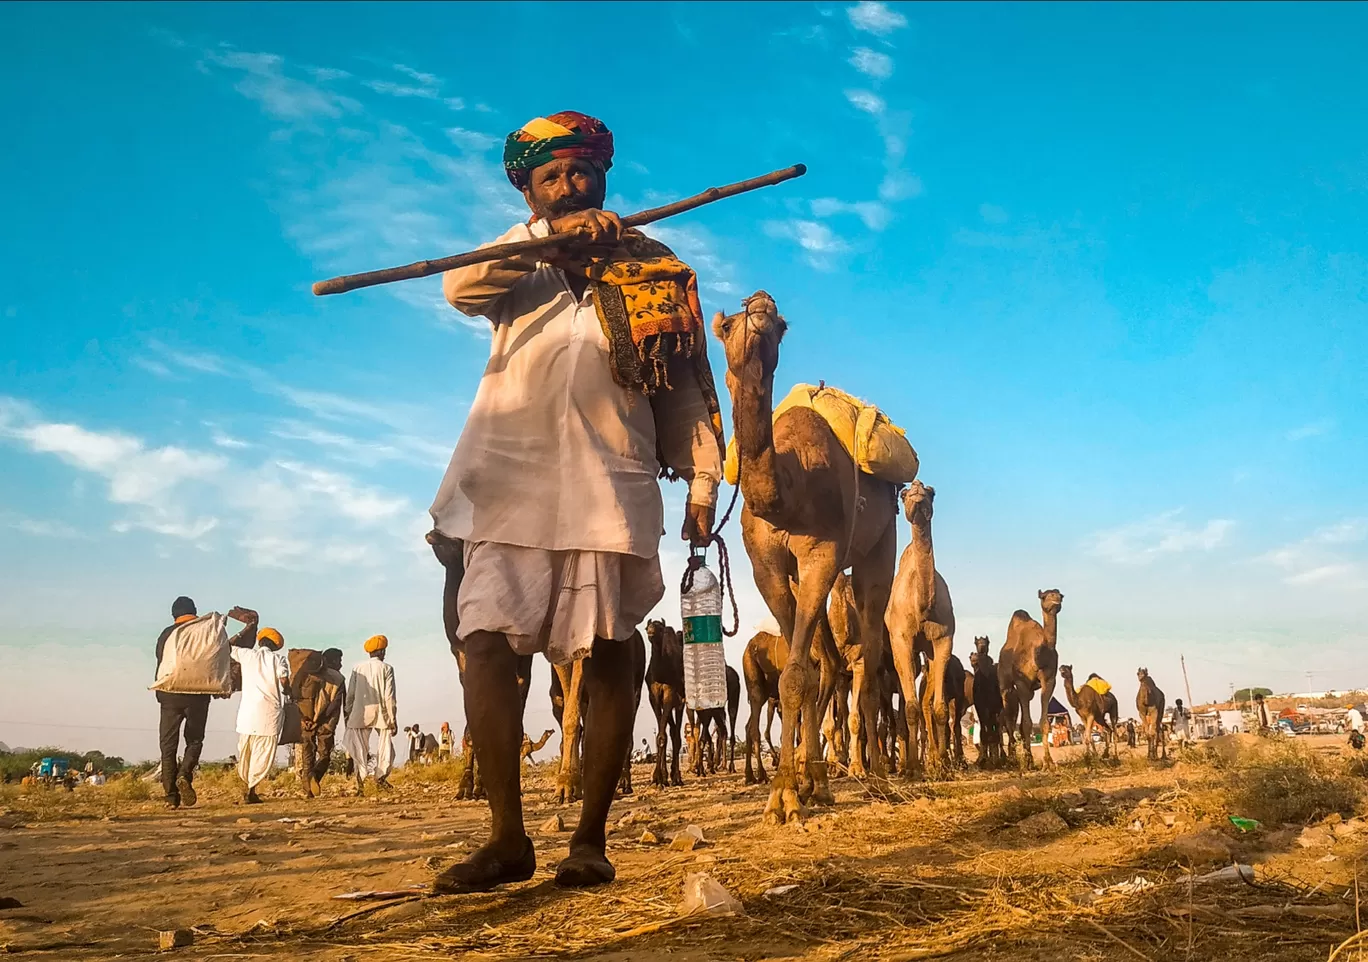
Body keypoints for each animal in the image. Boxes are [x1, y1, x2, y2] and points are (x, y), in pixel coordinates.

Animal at [640, 624, 684, 788]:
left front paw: (661, 777)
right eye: (647, 627)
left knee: (676, 735)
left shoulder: (669, 693)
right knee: (671, 731)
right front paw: (659, 778)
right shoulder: (653, 696)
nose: (650, 632)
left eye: (659, 627)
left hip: (681, 702)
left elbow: (661, 735)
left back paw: (677, 777)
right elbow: (660, 734)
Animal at [711, 290, 902, 826]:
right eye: (726, 325)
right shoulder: (768, 568)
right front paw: (800, 788)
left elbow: (797, 674)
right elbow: (804, 671)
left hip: (881, 541)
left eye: (780, 325)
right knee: (831, 663)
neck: (789, 494)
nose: (758, 305)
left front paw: (784, 797)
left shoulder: (823, 552)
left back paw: (879, 777)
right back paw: (822, 780)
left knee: (869, 653)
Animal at [880, 481, 957, 782]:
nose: (916, 491)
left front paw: (943, 765)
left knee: (926, 703)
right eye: (903, 495)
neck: (922, 606)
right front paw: (912, 768)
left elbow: (939, 708)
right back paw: (907, 764)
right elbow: (911, 709)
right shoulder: (902, 639)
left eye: (932, 492)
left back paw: (935, 761)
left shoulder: (943, 639)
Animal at [995, 591, 1067, 771]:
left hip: (1026, 693)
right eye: (1045, 596)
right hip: (1005, 685)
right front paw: (1027, 761)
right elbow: (1027, 724)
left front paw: (1048, 763)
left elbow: (1043, 722)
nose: (1056, 599)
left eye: (1060, 594)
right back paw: (1012, 758)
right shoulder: (1022, 683)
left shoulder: (1049, 680)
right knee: (1007, 720)